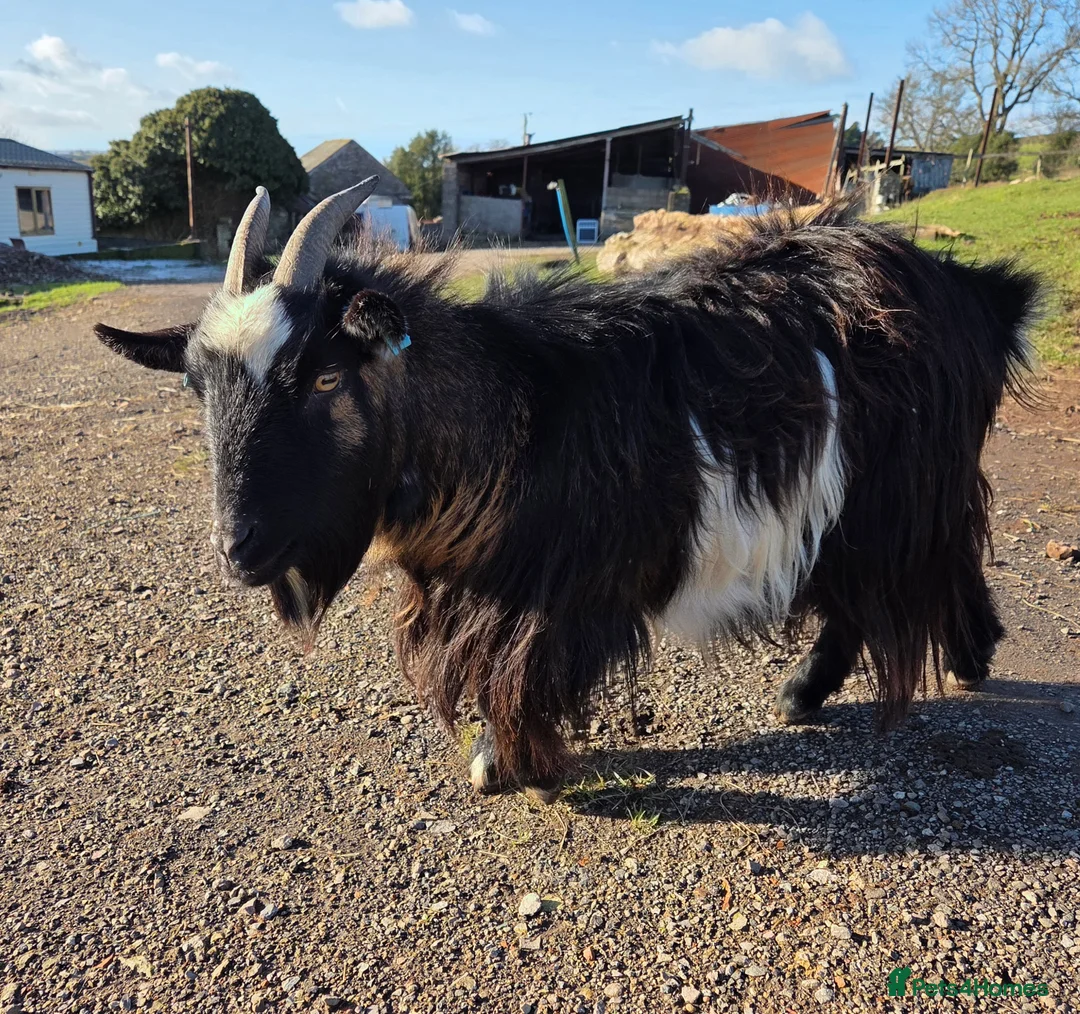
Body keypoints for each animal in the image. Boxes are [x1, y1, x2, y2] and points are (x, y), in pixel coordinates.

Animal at [95, 178, 1039, 802]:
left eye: (326, 377)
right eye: (196, 387)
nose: (238, 548)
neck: (509, 416)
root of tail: (987, 294)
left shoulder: (555, 596)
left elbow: (522, 675)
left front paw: (510, 763)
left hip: (899, 490)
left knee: (910, 565)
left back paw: (854, 678)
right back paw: (930, 661)